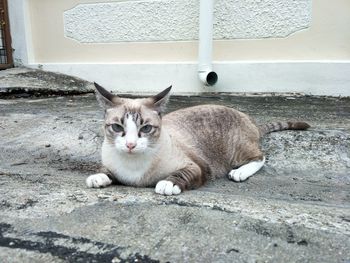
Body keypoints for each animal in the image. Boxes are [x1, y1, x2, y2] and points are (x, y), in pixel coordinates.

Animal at [86, 83, 310, 196]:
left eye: (146, 128)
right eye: (117, 127)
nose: (130, 145)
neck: (133, 167)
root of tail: (250, 119)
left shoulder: (195, 166)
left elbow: (181, 175)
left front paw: (167, 184)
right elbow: (106, 171)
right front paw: (98, 177)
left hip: (237, 152)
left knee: (260, 157)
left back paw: (239, 172)